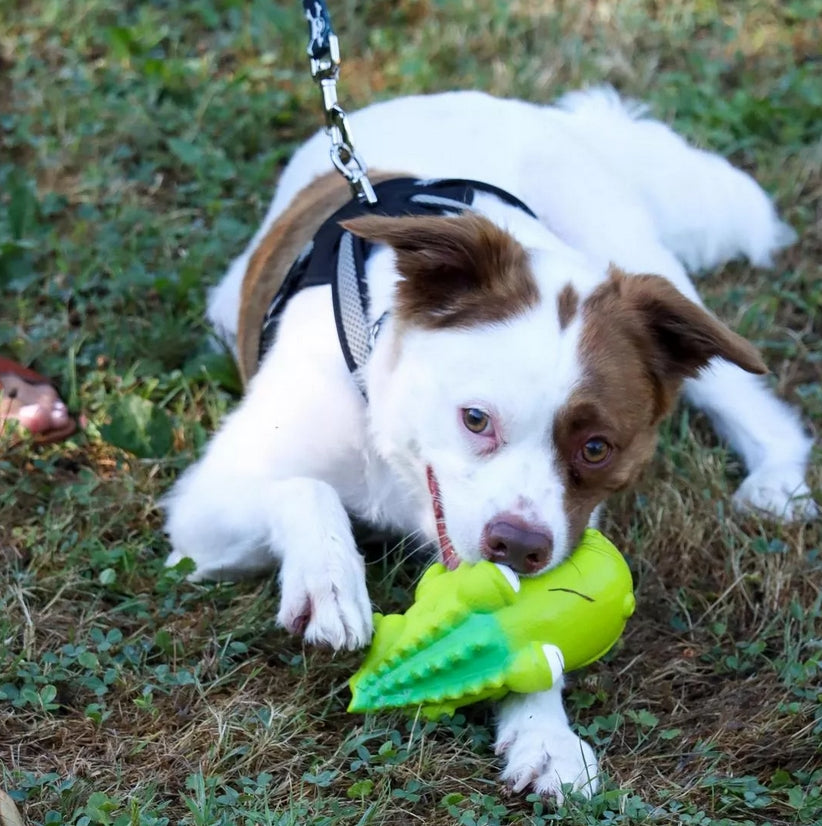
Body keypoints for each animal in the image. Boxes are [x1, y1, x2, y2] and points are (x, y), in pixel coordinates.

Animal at [164, 90, 820, 800]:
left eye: (597, 448)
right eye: (475, 419)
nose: (519, 547)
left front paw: (544, 734)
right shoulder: (201, 512)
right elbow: (305, 488)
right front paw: (330, 582)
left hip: (650, 270)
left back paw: (778, 480)